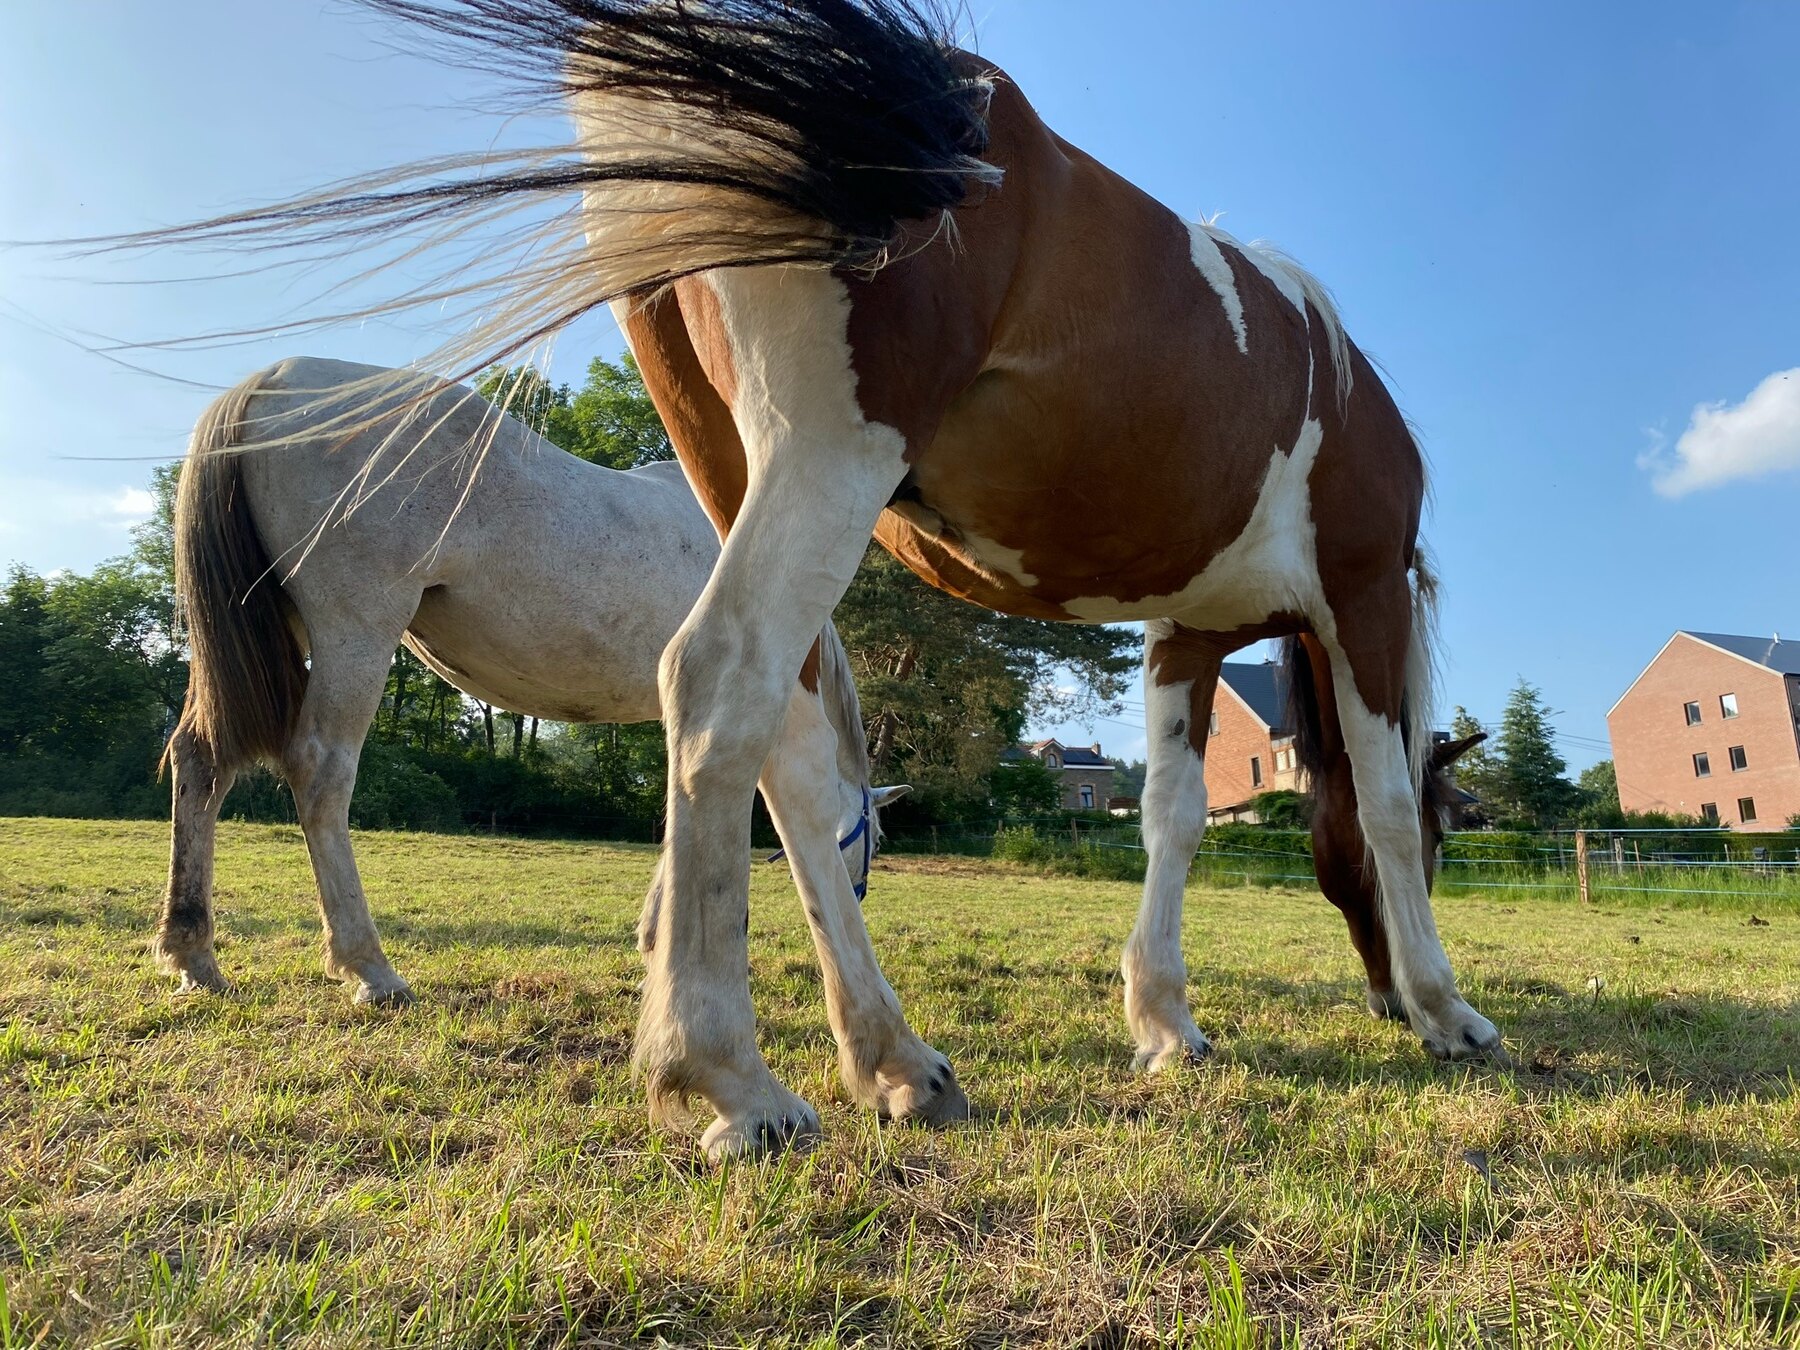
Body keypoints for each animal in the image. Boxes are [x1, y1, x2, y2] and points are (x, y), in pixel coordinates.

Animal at [158, 357, 918, 1097]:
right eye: (873, 839)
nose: (861, 896)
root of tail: (270, 384)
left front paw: (654, 933)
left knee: (201, 760)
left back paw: (192, 953)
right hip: (356, 630)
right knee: (320, 773)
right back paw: (368, 968)